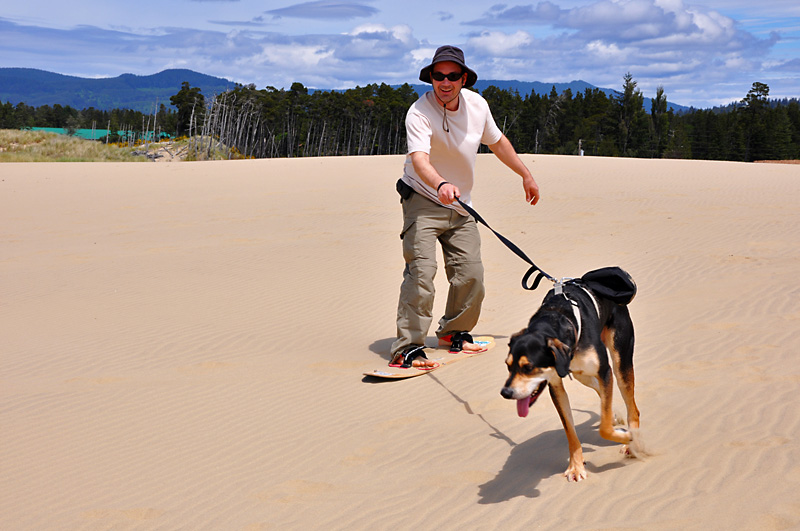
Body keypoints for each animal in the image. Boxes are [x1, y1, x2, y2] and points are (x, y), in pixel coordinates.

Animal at [500, 268, 644, 484]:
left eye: (528, 367)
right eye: (508, 366)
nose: (505, 393)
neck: (555, 320)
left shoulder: (604, 371)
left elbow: (604, 428)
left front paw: (626, 437)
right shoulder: (556, 385)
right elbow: (570, 431)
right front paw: (576, 467)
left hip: (620, 364)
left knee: (632, 408)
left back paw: (631, 442)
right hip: (582, 375)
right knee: (603, 395)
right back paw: (616, 417)